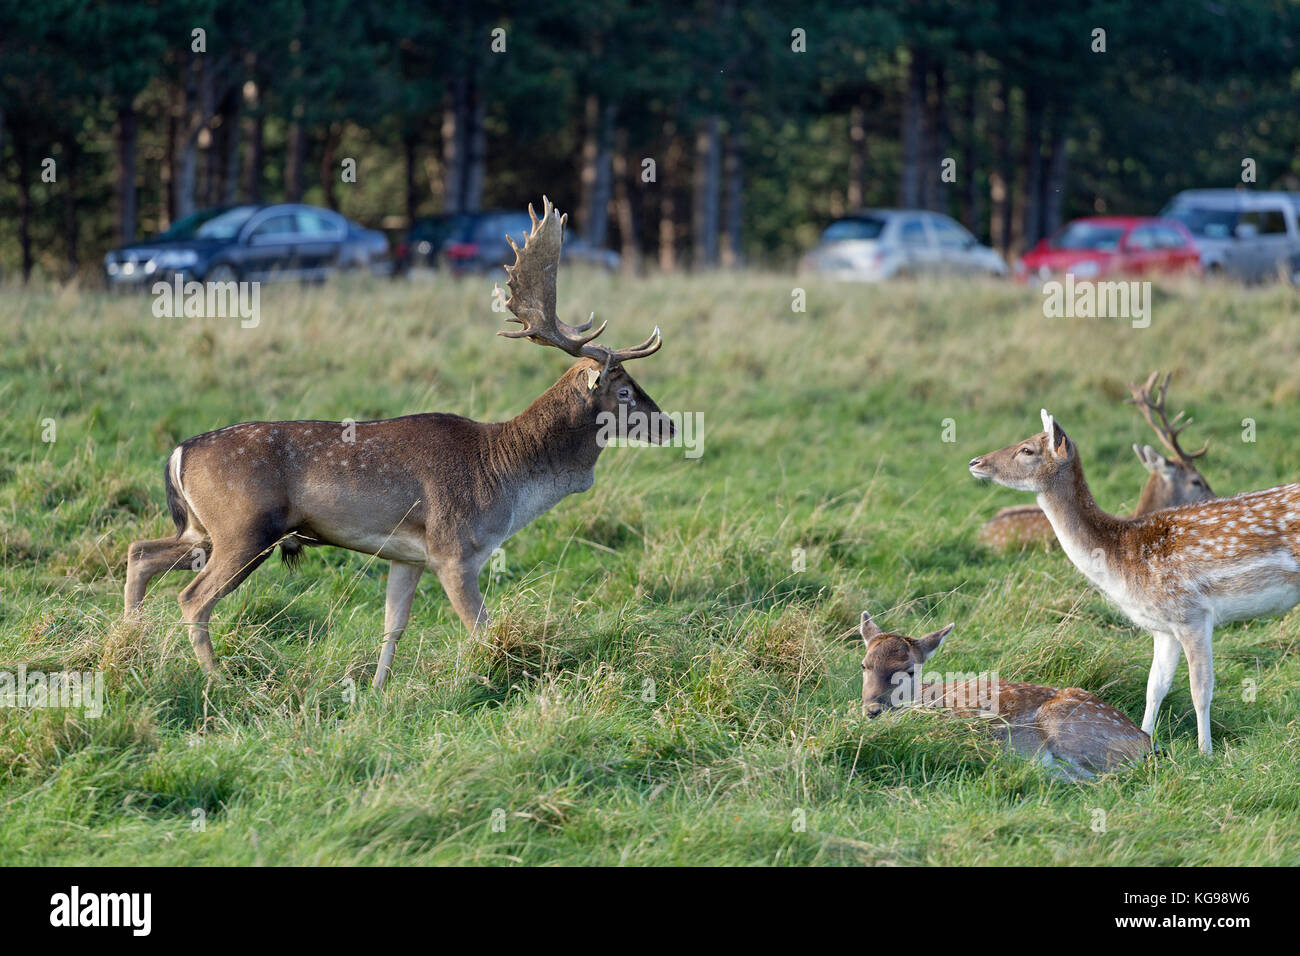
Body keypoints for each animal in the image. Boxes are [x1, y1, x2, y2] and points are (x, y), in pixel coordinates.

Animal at [122, 197, 676, 686]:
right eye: (625, 391)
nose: (670, 424)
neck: (506, 476)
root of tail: (179, 452)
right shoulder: (456, 549)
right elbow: (482, 630)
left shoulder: (407, 556)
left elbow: (393, 628)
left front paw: (376, 692)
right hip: (244, 528)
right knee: (192, 597)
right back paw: (216, 678)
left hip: (203, 530)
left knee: (139, 553)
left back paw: (129, 647)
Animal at [977, 408, 1300, 749]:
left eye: (1027, 450)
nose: (975, 462)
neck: (1122, 562)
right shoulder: (1163, 627)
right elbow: (1154, 687)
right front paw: (1147, 740)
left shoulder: (1193, 614)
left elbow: (1201, 688)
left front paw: (1206, 752)